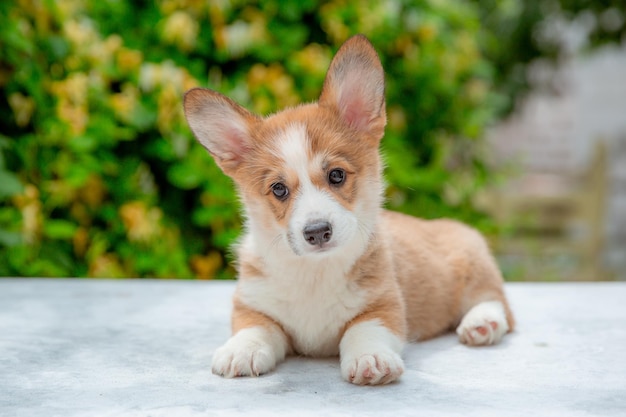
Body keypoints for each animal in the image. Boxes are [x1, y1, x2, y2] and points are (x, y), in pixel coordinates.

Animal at [183, 34, 516, 386]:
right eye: (278, 189)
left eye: (337, 175)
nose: (317, 232)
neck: (314, 272)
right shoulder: (252, 305)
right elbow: (255, 327)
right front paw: (241, 350)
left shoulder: (384, 305)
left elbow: (362, 330)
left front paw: (372, 358)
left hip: (475, 267)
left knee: (496, 301)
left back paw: (483, 323)